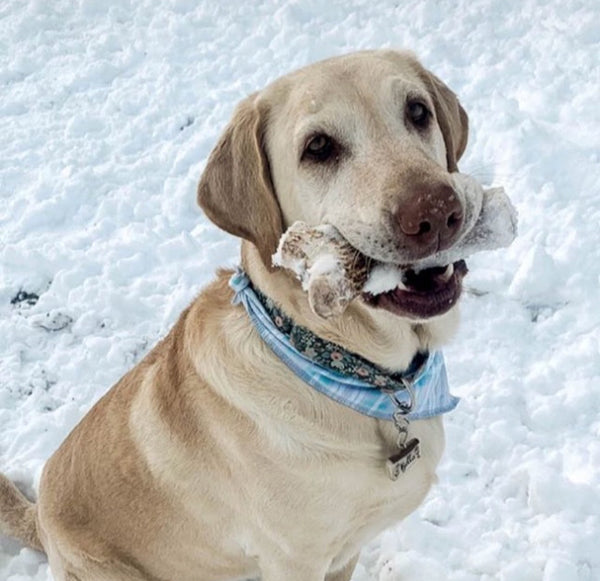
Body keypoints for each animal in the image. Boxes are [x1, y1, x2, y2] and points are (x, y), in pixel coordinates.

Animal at [1, 51, 468, 580]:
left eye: (417, 111)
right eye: (318, 147)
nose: (435, 211)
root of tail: (40, 520)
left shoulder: (344, 553)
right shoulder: (294, 559)